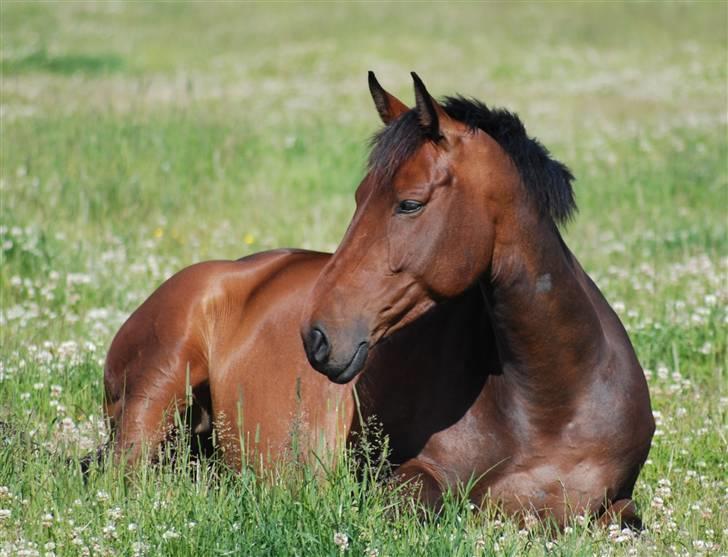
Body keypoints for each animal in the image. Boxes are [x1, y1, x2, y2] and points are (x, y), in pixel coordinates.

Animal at [102, 71, 656, 528]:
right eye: (357, 196)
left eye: (409, 203)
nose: (317, 336)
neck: (549, 404)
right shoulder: (405, 482)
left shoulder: (617, 503)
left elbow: (627, 517)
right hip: (153, 402)